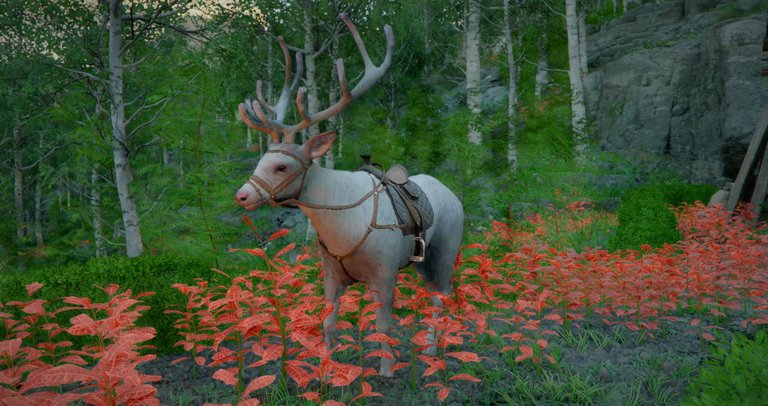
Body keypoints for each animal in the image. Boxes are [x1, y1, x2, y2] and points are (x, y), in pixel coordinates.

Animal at [234, 14, 464, 377]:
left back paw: (431, 347)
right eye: (261, 160)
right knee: (435, 293)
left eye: (282, 166)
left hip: (446, 248)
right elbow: (328, 323)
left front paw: (386, 368)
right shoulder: (330, 273)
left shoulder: (384, 273)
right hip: (423, 260)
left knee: (442, 293)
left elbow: (383, 325)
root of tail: (452, 194)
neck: (341, 227)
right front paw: (326, 367)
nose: (242, 196)